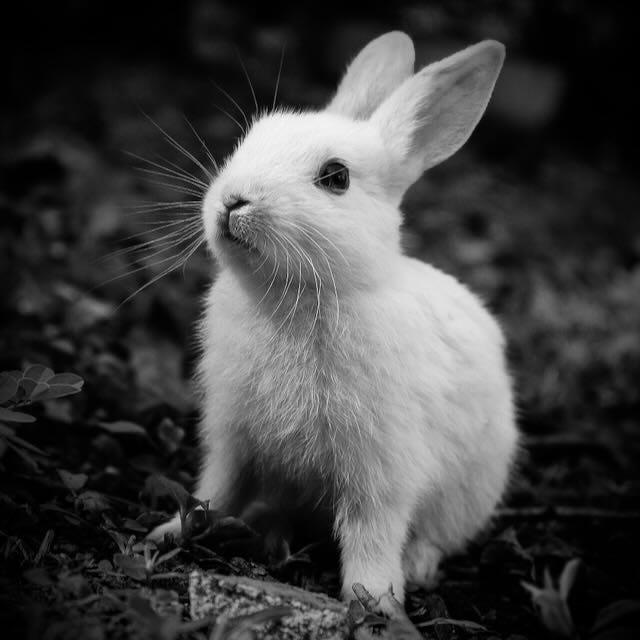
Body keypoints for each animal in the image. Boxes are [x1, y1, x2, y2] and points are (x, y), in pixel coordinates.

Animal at [150, 31, 520, 604]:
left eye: (336, 177)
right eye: (252, 138)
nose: (233, 201)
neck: (296, 297)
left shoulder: (381, 465)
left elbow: (372, 530)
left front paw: (373, 599)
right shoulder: (231, 436)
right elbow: (215, 489)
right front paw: (170, 532)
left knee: (435, 535)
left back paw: (416, 567)